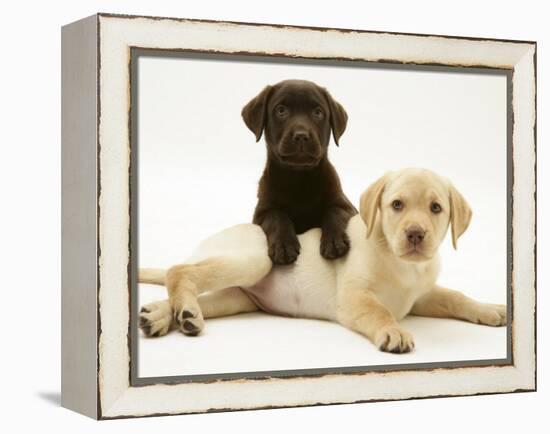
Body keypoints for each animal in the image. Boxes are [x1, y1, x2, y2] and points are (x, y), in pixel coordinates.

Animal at [139, 168, 508, 354]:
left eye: (435, 208)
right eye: (397, 205)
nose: (415, 234)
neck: (404, 265)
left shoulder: (421, 296)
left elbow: (455, 297)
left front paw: (490, 309)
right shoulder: (354, 297)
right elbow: (379, 310)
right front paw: (393, 331)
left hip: (237, 297)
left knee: (185, 295)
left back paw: (166, 316)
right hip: (254, 259)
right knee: (178, 271)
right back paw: (182, 311)